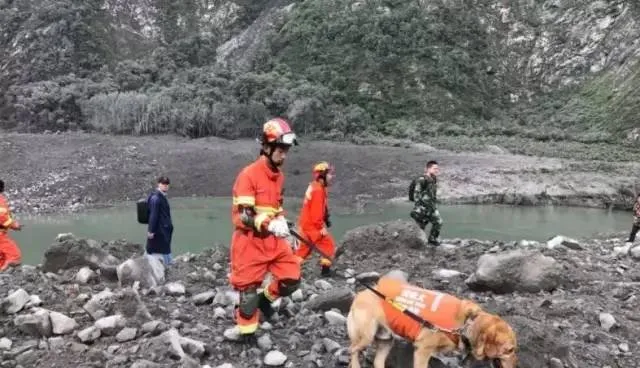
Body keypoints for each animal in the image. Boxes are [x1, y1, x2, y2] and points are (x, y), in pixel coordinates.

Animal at [348, 276, 516, 368]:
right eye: (509, 350)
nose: (517, 366)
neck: (466, 324)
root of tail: (360, 294)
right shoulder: (422, 350)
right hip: (366, 335)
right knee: (353, 350)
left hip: (386, 340)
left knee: (377, 361)